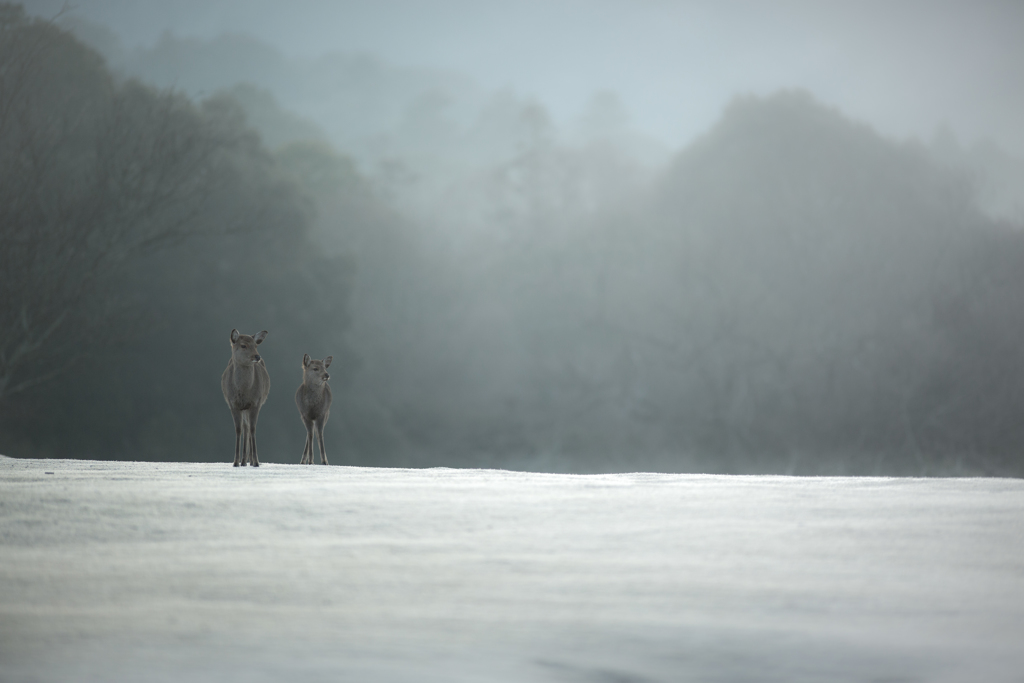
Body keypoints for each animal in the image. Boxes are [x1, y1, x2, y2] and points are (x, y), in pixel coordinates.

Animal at [221, 327, 270, 466]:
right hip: (243, 409)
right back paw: (243, 461)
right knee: (245, 427)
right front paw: (235, 462)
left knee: (248, 427)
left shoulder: (255, 403)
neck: (243, 390)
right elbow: (238, 429)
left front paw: (256, 461)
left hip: (250, 407)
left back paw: (249, 460)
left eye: (255, 345)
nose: (257, 356)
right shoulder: (233, 404)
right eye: (243, 345)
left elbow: (253, 429)